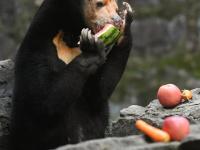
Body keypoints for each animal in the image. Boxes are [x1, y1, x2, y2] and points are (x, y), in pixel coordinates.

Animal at [10, 0, 134, 150]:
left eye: (116, 9)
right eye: (99, 4)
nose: (116, 21)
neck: (71, 36)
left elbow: (99, 91)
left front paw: (126, 20)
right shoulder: (38, 47)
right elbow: (44, 98)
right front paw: (92, 47)